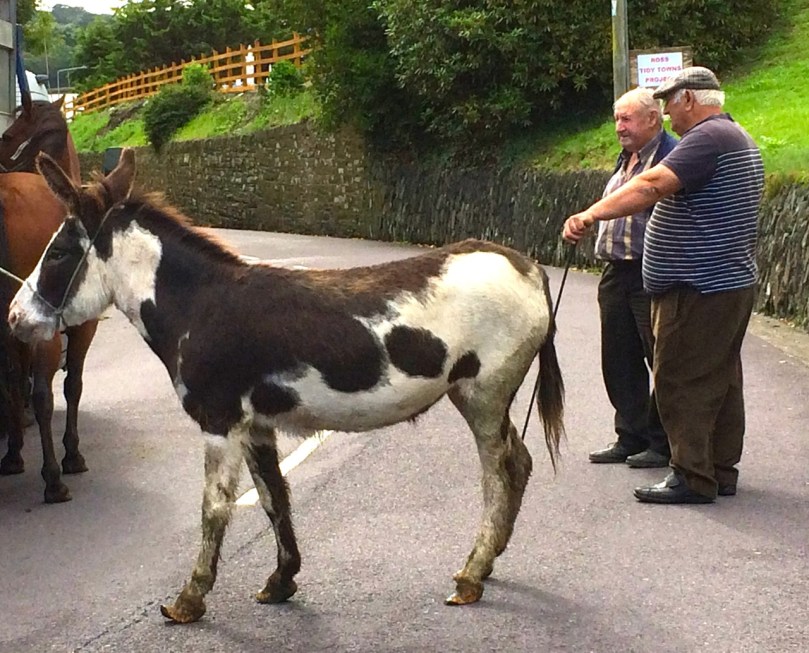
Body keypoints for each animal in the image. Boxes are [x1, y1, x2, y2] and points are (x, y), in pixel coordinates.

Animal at [9, 149, 565, 622]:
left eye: (57, 253)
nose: (14, 319)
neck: (198, 308)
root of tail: (527, 266)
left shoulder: (219, 422)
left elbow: (214, 508)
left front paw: (189, 599)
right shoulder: (255, 424)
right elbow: (273, 495)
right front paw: (282, 580)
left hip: (483, 393)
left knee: (500, 471)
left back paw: (472, 575)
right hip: (481, 395)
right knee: (520, 462)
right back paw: (488, 563)